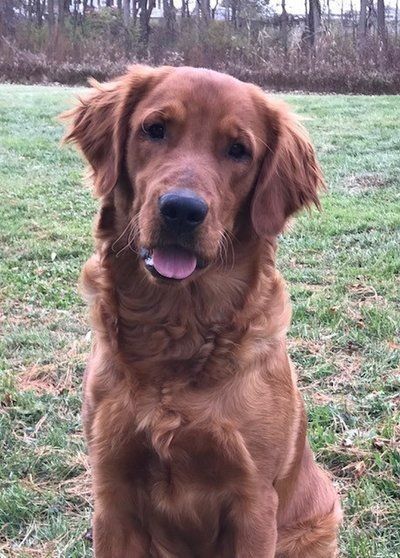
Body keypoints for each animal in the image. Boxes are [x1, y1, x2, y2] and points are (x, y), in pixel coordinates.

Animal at [62, 63, 340, 556]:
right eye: (154, 130)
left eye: (238, 150)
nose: (182, 210)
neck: (177, 325)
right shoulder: (112, 494)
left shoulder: (254, 502)